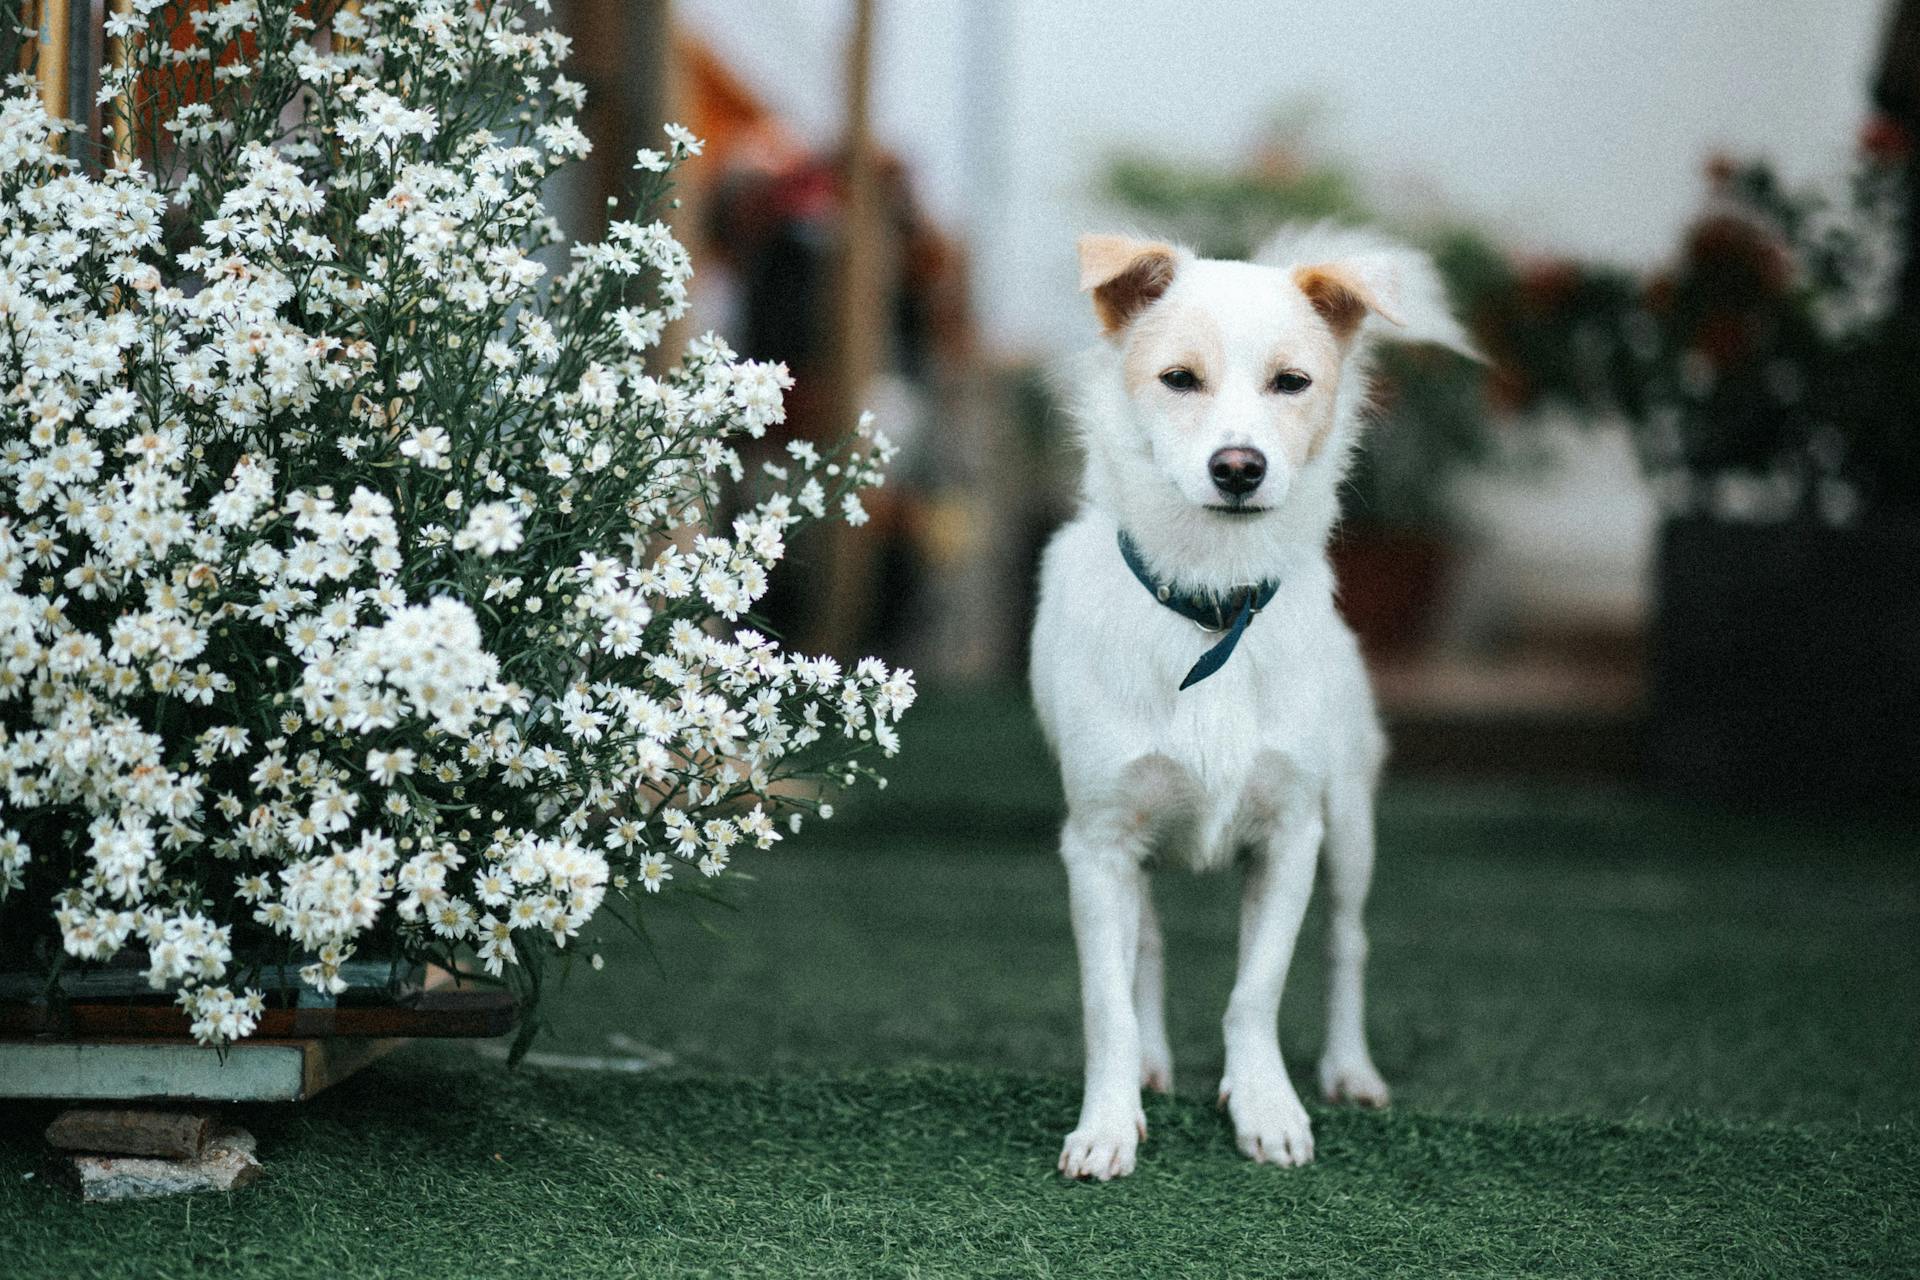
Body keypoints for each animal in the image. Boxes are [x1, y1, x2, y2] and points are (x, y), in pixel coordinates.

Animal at [1036, 222, 1466, 1182]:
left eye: (1292, 383)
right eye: (1178, 379)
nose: (1239, 467)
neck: (1210, 601)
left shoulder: (1292, 835)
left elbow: (1255, 991)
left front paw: (1265, 1104)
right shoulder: (1098, 845)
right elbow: (1106, 1002)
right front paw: (1108, 1120)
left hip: (1351, 827)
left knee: (1347, 943)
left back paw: (1348, 1068)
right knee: (1148, 950)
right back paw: (1154, 1063)